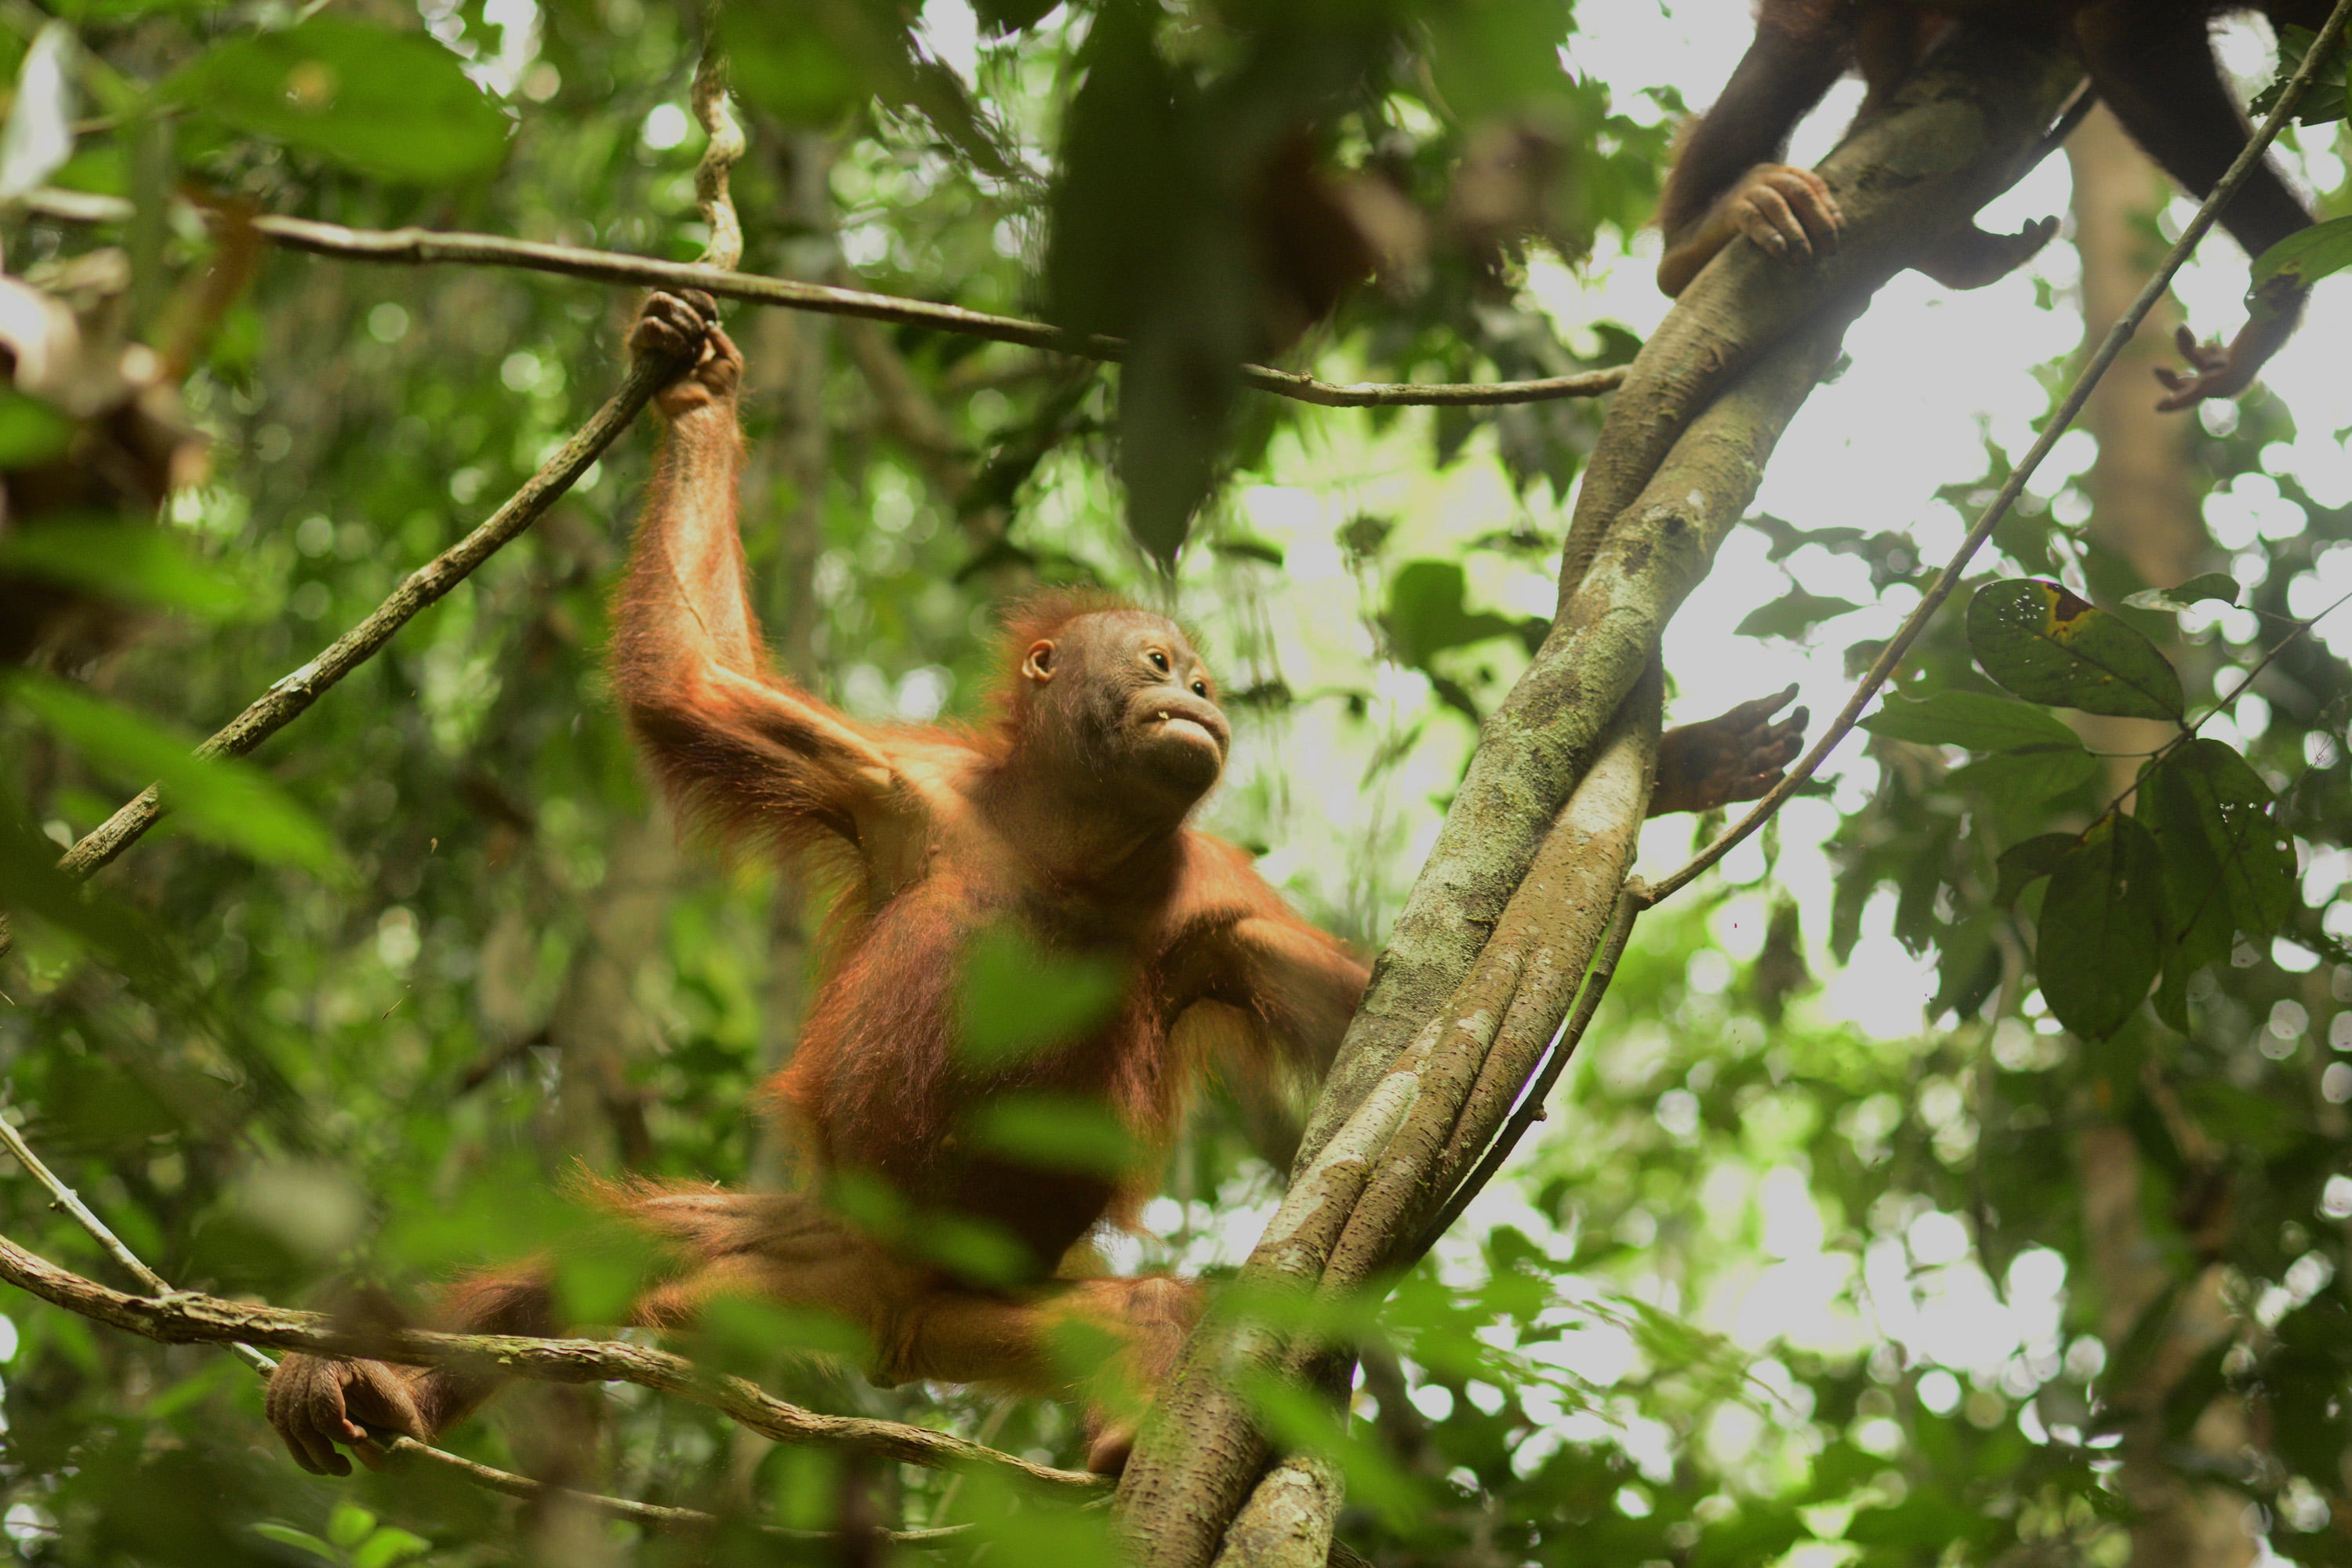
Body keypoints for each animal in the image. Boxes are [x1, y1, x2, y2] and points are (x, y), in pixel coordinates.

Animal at [261, 292, 1810, 1479]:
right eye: (1160, 659)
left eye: (1198, 672)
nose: (1198, 692)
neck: (1075, 836)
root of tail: (890, 1319)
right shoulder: (887, 784)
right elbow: (696, 682)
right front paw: (695, 397)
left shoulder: (1223, 910)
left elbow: (1382, 1011)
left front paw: (1678, 765)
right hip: (816, 1249)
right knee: (628, 1235)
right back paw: (378, 1385)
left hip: (975, 1304)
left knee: (1143, 1322)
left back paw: (1131, 1439)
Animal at [1652, 0, 2326, 409]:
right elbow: (2125, 43)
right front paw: (2280, 272)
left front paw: (2276, 294)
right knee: (1800, 38)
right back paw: (1694, 238)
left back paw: (1953, 247)